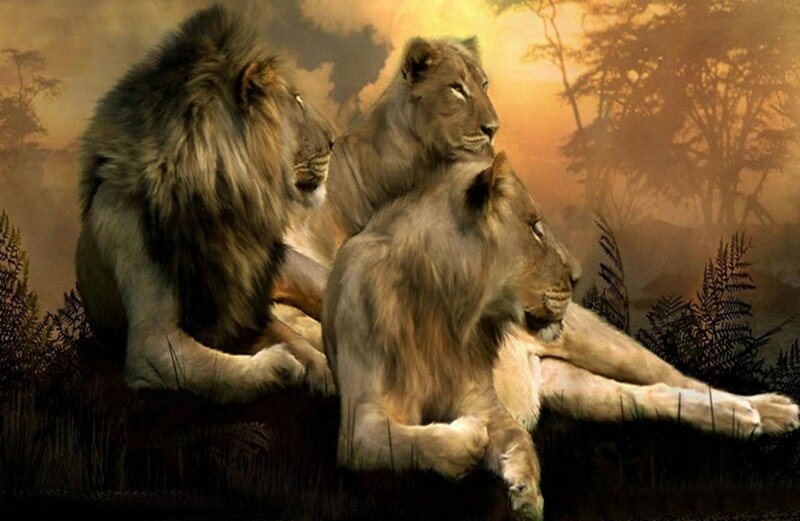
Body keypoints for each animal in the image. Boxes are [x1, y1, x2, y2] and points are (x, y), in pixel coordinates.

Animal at [74, 6, 336, 403]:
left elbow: (291, 337)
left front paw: (318, 367)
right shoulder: (155, 344)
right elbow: (216, 369)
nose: (336, 140)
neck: (221, 206)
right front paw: (282, 365)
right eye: (297, 101)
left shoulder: (245, 305)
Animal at [279, 35, 799, 436]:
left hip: (600, 343)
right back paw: (743, 416)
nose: (493, 128)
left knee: (678, 378)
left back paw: (766, 407)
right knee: (648, 395)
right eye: (456, 90)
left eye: (484, 85)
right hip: (574, 386)